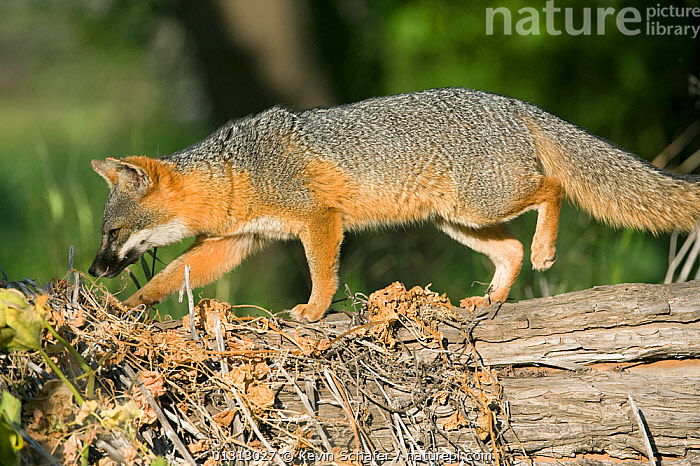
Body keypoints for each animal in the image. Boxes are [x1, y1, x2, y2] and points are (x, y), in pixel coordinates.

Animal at [89, 86, 700, 320]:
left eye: (112, 233)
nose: (94, 270)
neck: (235, 175)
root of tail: (509, 101)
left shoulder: (320, 219)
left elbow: (323, 273)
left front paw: (313, 311)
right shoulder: (235, 242)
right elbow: (169, 276)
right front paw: (126, 305)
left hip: (482, 205)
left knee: (551, 190)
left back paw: (546, 248)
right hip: (461, 221)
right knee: (509, 254)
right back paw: (489, 300)